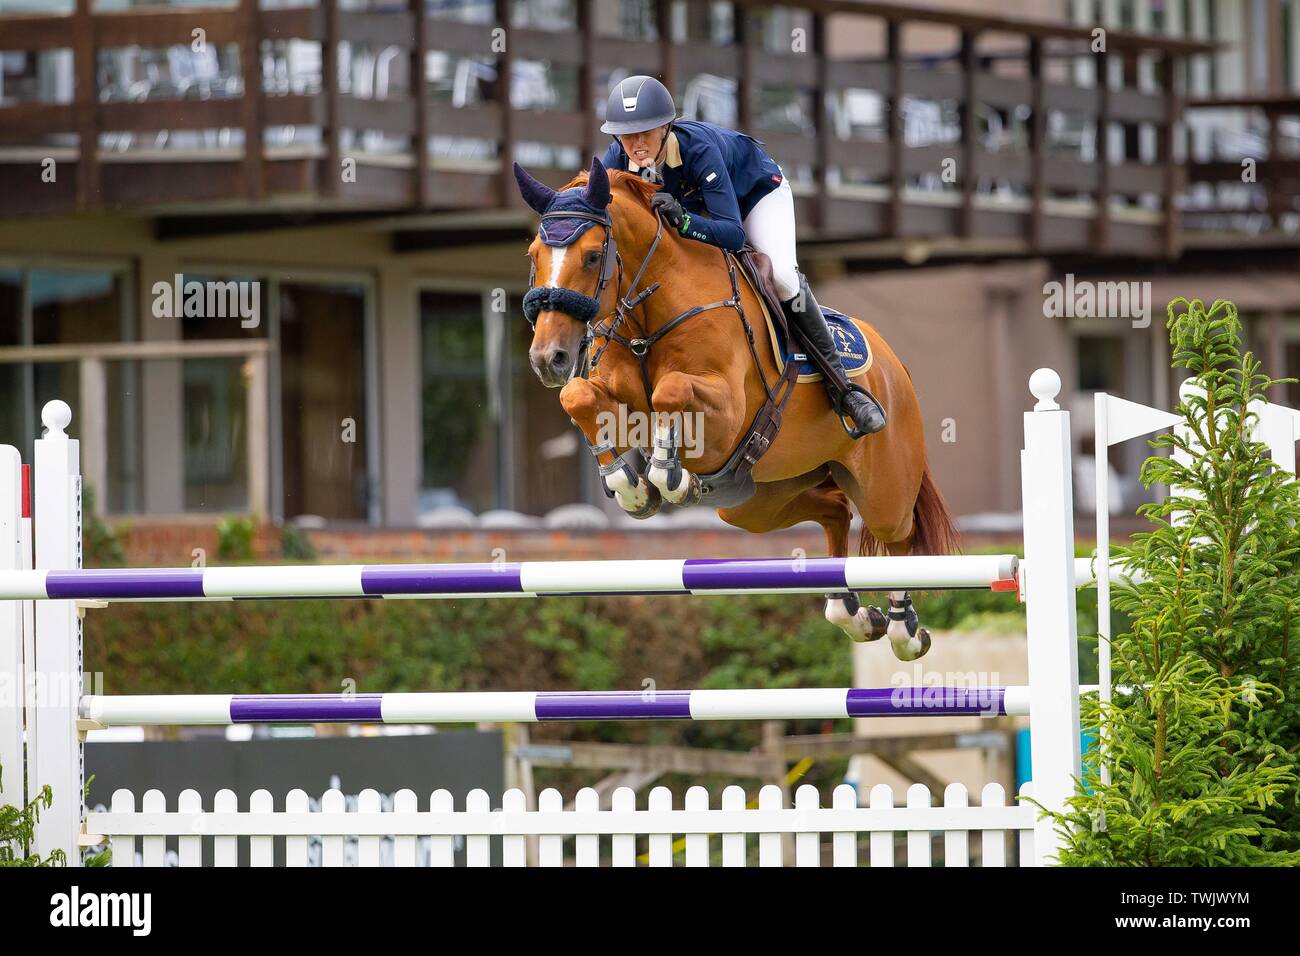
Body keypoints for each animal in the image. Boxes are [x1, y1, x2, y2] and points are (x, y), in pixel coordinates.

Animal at [514, 160, 956, 660]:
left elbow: (669, 391)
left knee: (897, 535)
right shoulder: (616, 400)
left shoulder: (725, 415)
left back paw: (903, 627)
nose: (549, 359)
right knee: (835, 509)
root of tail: (895, 364)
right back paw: (852, 613)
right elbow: (579, 398)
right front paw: (631, 487)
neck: (650, 313)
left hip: (884, 487)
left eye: (592, 257)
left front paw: (668, 475)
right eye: (532, 255)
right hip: (757, 502)